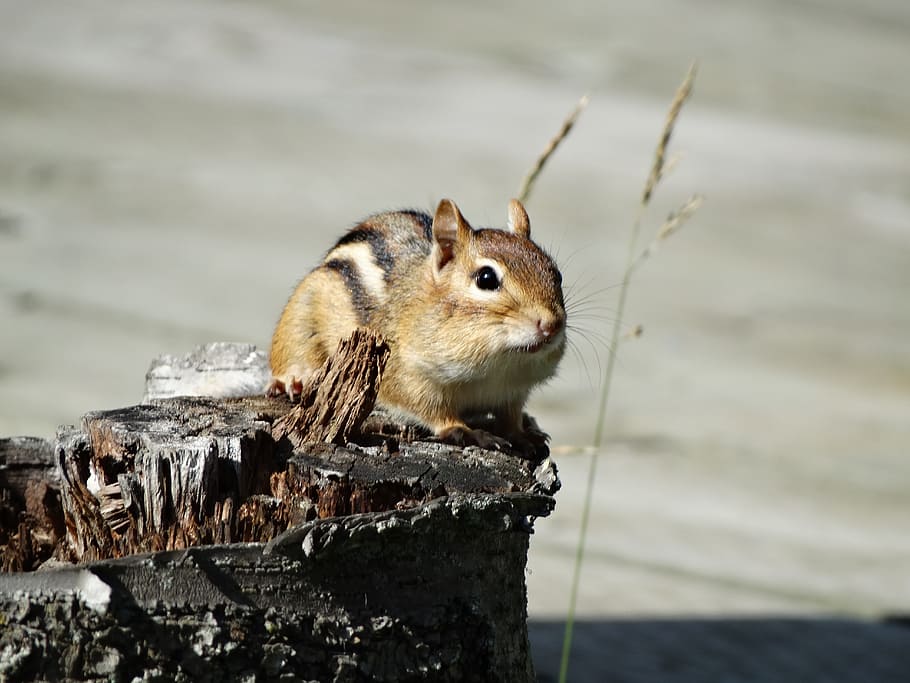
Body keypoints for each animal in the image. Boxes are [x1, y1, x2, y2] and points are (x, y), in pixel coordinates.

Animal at [268, 198, 566, 451]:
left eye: (557, 274)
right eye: (486, 278)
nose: (551, 325)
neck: (498, 366)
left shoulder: (513, 392)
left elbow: (511, 418)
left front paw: (524, 435)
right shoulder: (406, 372)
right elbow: (432, 410)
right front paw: (468, 432)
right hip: (301, 314)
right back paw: (293, 380)